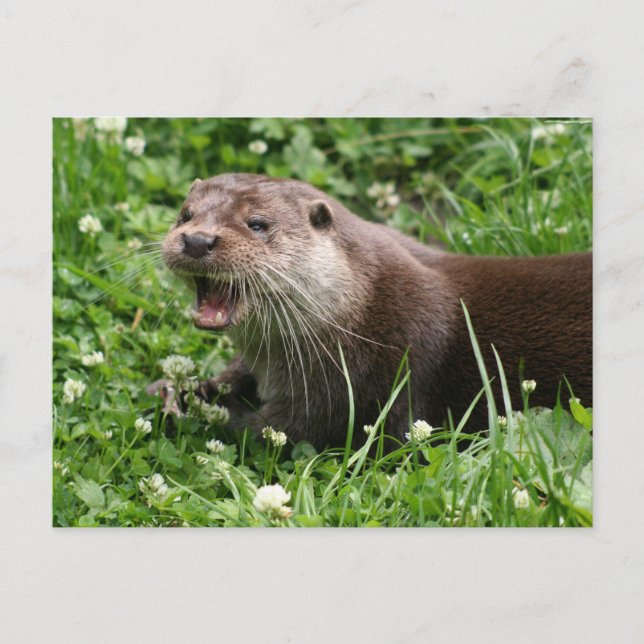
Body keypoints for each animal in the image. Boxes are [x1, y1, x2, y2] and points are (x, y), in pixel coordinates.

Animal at [158, 173, 592, 449]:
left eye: (258, 224)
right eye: (186, 214)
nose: (197, 239)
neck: (360, 321)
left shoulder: (351, 390)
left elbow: (268, 431)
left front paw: (191, 408)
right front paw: (186, 387)